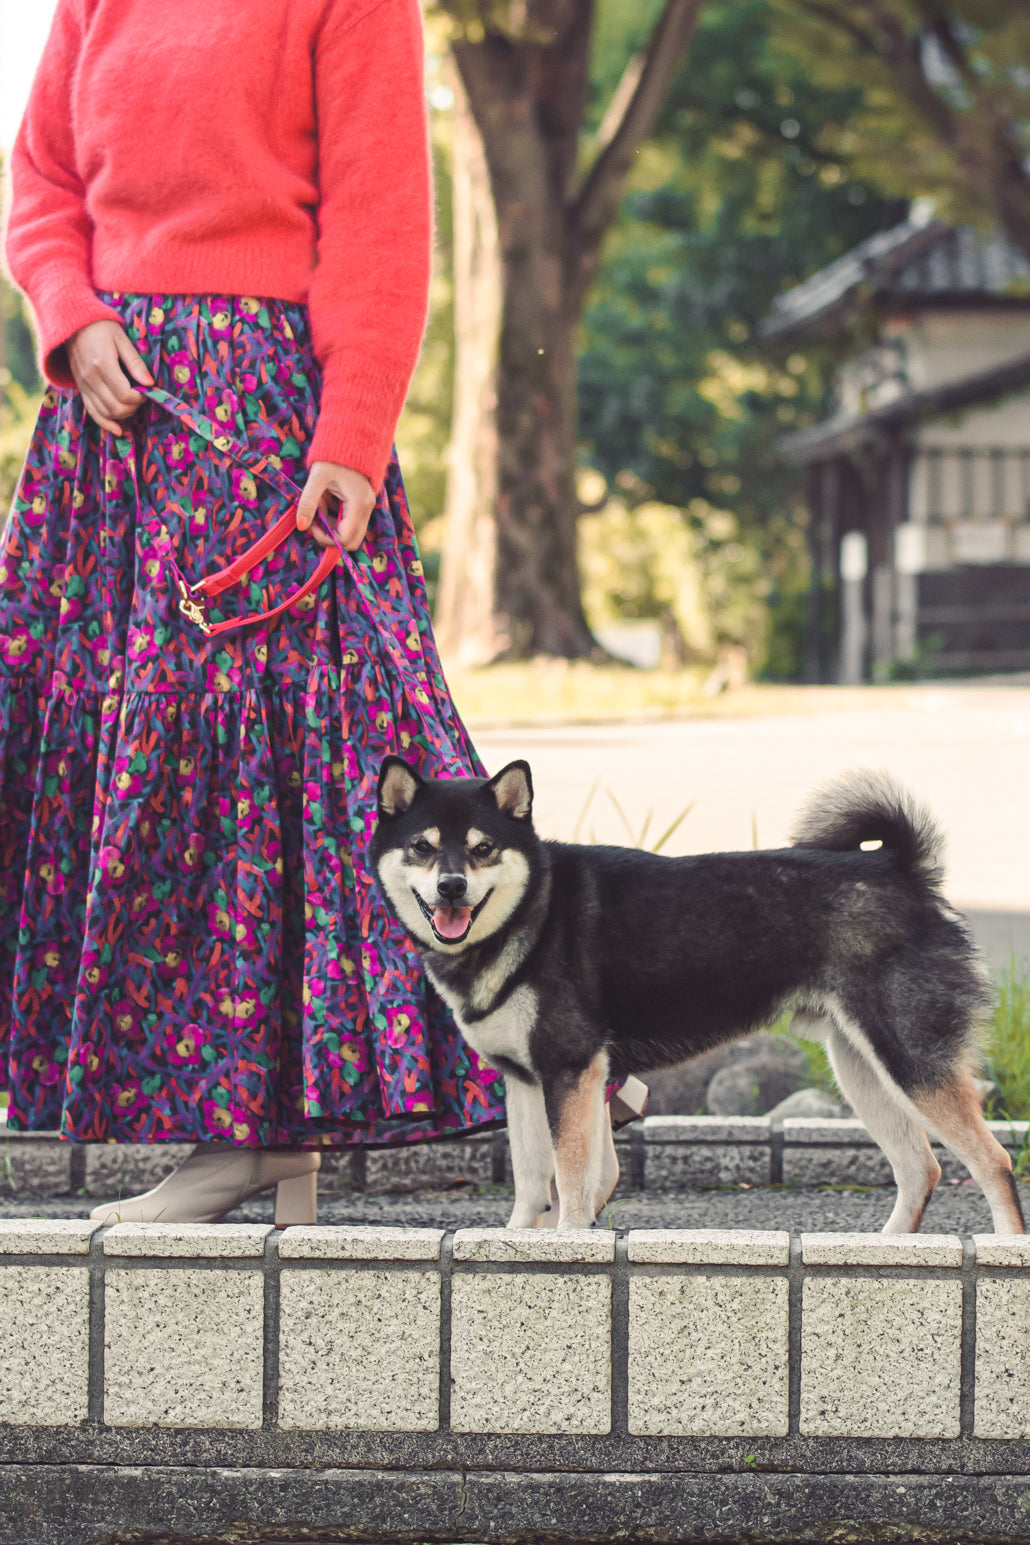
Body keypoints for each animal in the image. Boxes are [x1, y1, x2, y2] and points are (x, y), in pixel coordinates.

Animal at [369, 763, 1025, 1242]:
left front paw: (569, 1244)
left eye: (482, 849)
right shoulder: (529, 1081)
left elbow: (573, 1181)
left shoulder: (570, 1071)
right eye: (423, 847)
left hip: (910, 1063)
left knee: (993, 1162)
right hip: (862, 1069)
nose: (451, 887)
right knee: (922, 1169)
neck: (532, 910)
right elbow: (534, 1183)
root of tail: (901, 869)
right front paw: (516, 1241)